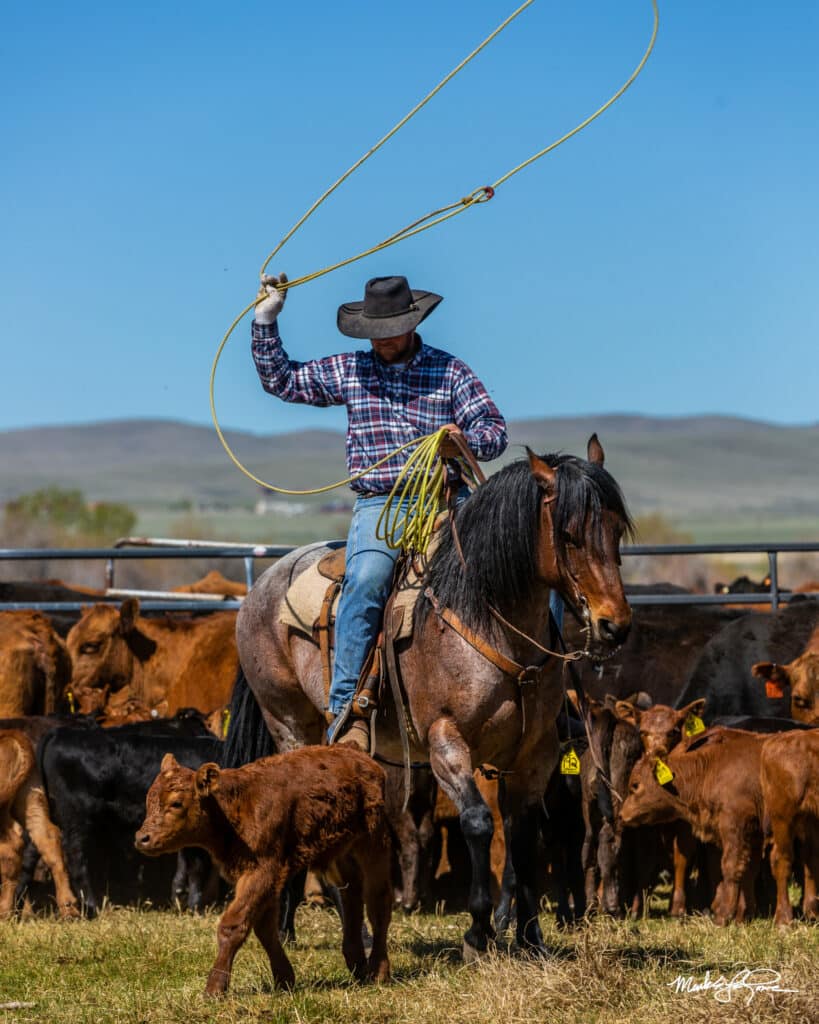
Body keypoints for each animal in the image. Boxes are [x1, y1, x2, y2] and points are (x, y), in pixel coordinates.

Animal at [0, 729, 79, 919]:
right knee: (49, 840)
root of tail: (12, 734)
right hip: (33, 801)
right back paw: (69, 909)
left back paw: (4, 912)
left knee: (11, 846)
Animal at [39, 716, 221, 916]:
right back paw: (92, 907)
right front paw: (195, 908)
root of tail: (61, 733)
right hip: (77, 817)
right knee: (76, 858)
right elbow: (198, 866)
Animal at [135, 746, 393, 994]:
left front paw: (214, 987)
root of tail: (359, 755)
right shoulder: (260, 876)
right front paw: (284, 979)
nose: (142, 838)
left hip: (374, 845)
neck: (235, 806)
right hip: (340, 854)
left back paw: (379, 972)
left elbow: (234, 924)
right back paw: (357, 965)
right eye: (148, 800)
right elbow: (264, 928)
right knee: (351, 898)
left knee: (378, 906)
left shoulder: (263, 871)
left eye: (176, 803)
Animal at [620, 728, 767, 924]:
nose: (621, 814)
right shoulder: (754, 835)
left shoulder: (735, 826)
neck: (713, 766)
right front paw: (743, 915)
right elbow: (749, 871)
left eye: (635, 785)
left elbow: (731, 867)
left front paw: (723, 915)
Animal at [759, 729, 819, 926]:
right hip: (783, 817)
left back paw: (813, 912)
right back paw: (784, 919)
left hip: (809, 818)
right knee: (781, 859)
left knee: (810, 857)